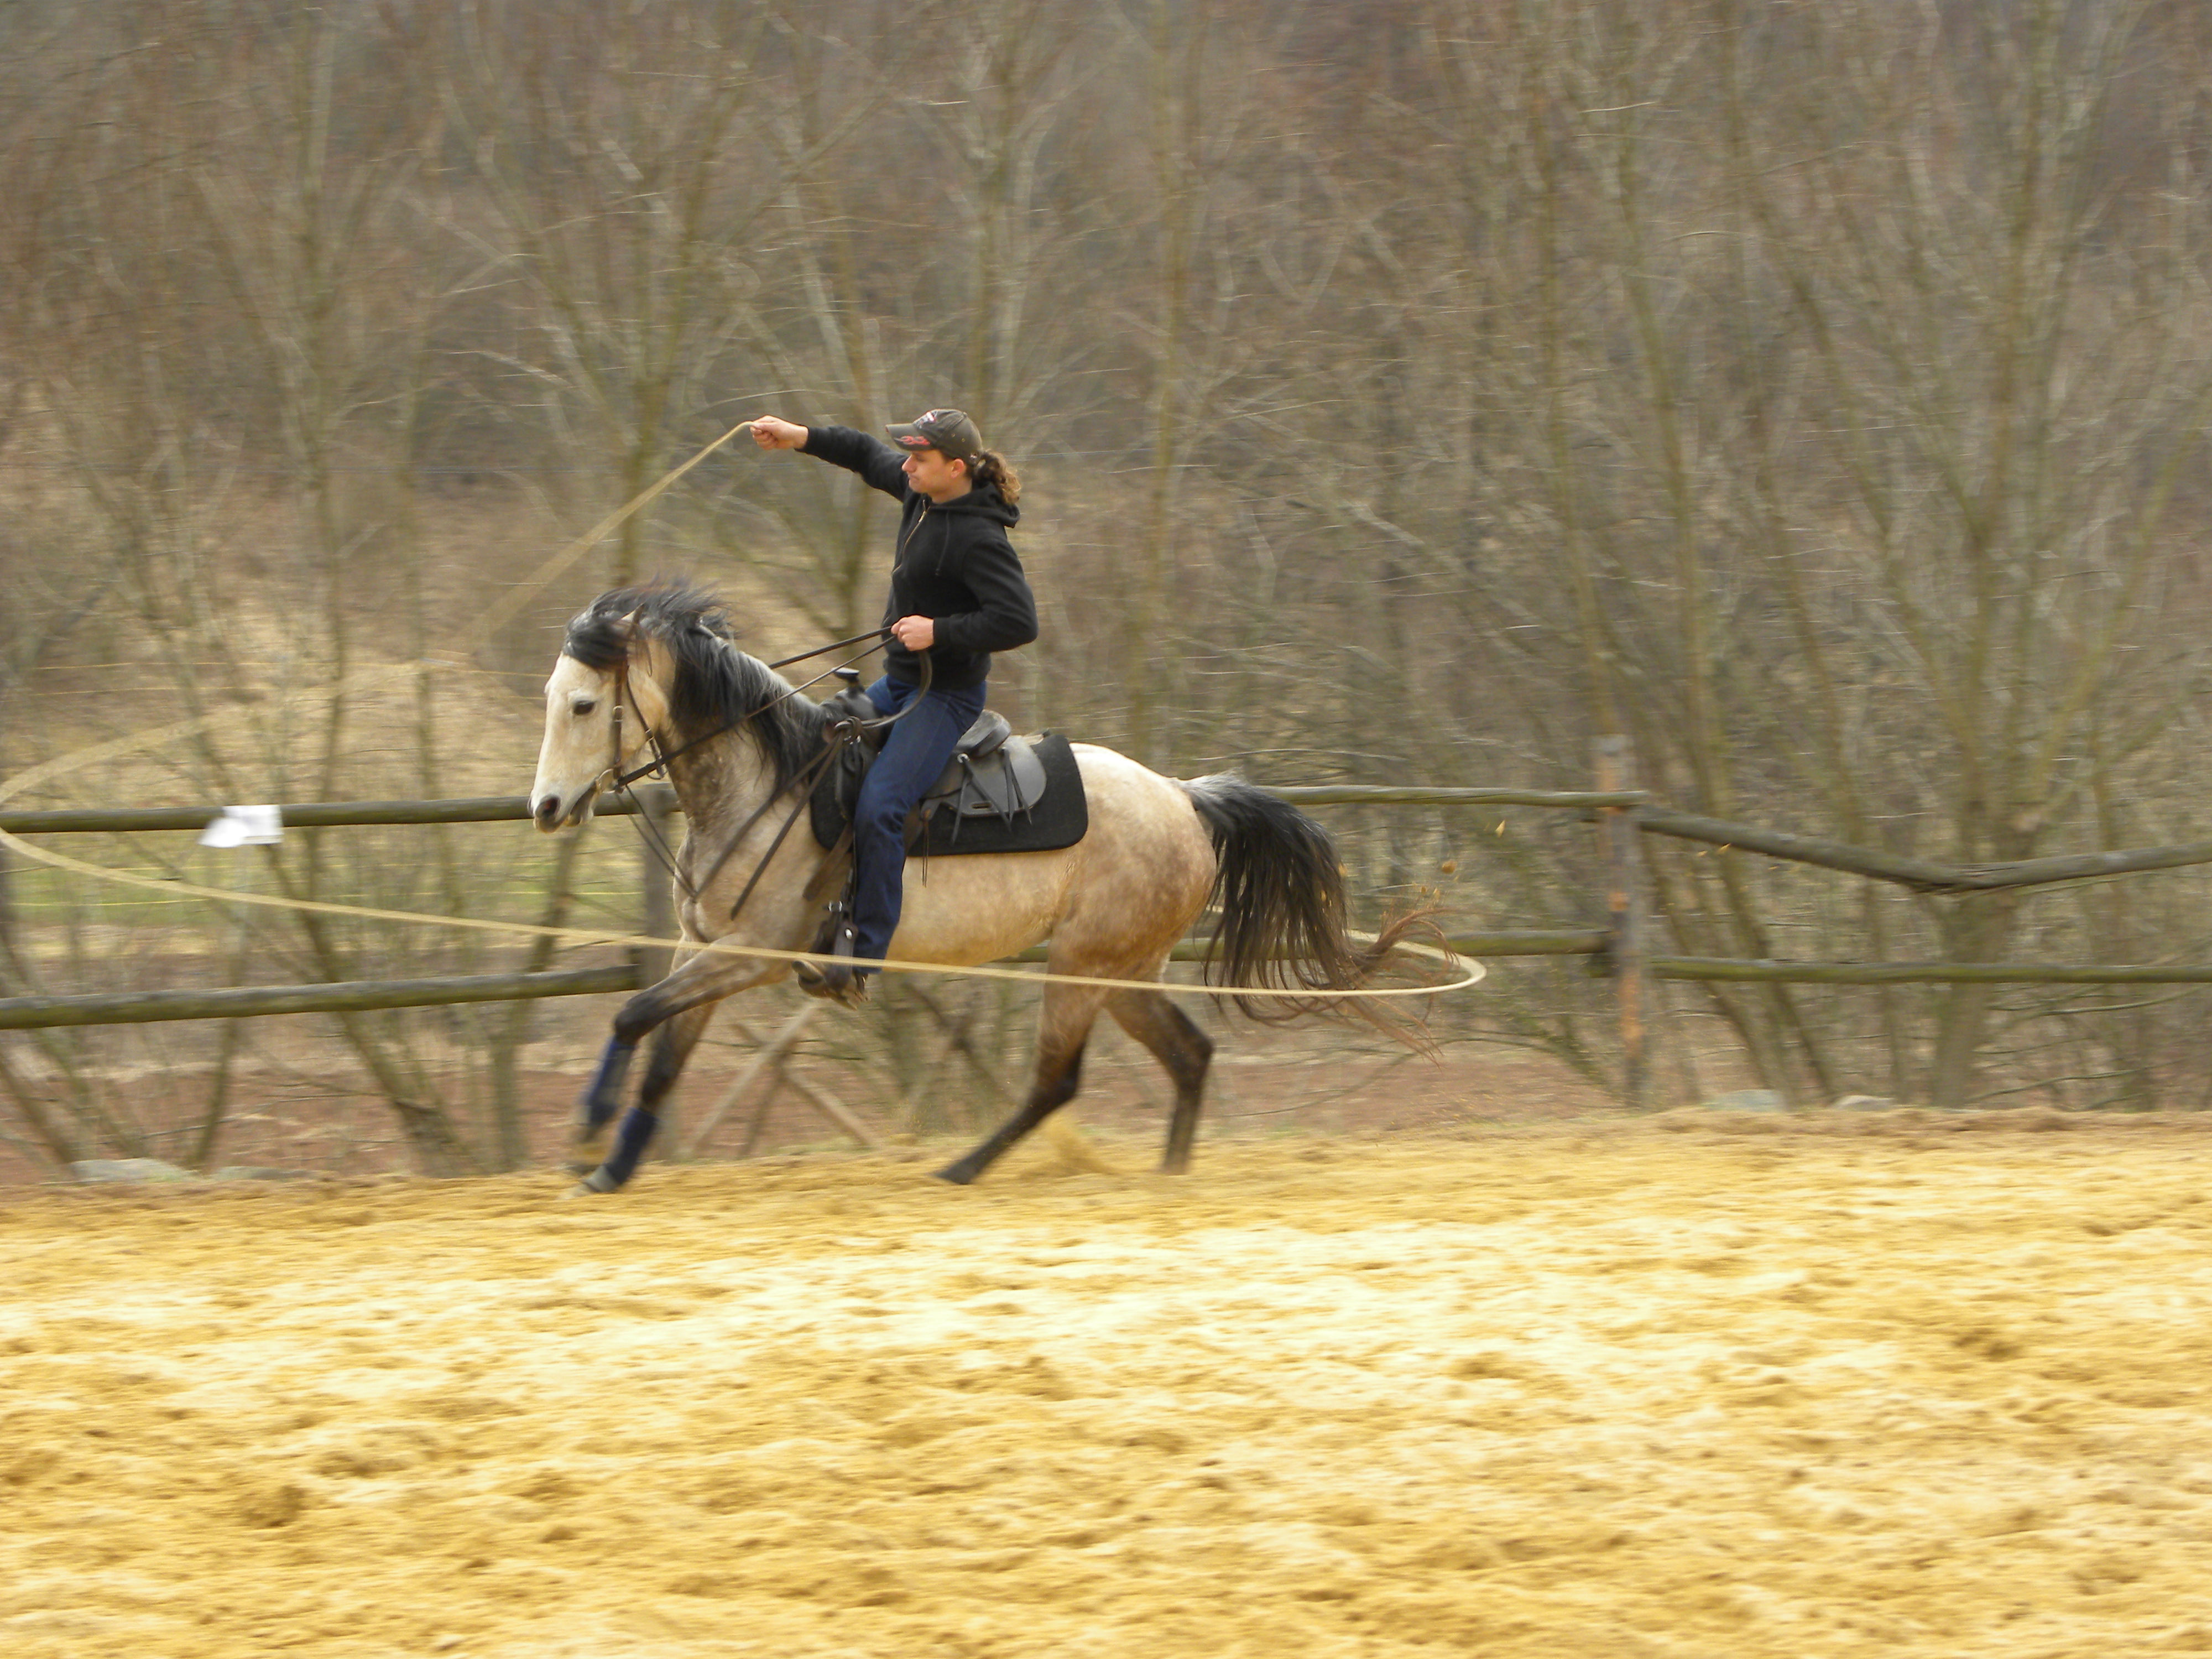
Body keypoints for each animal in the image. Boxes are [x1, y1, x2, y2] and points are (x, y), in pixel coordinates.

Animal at [535, 584, 1433, 1194]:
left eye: (582, 704)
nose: (545, 807)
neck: (772, 788)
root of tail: (1184, 798)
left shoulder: (753, 954)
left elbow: (630, 1014)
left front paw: (584, 1133)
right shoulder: (702, 948)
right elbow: (659, 1053)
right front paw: (609, 1165)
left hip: (1082, 967)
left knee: (1057, 1082)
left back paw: (964, 1169)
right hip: (1125, 971)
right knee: (1189, 1055)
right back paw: (1167, 1176)